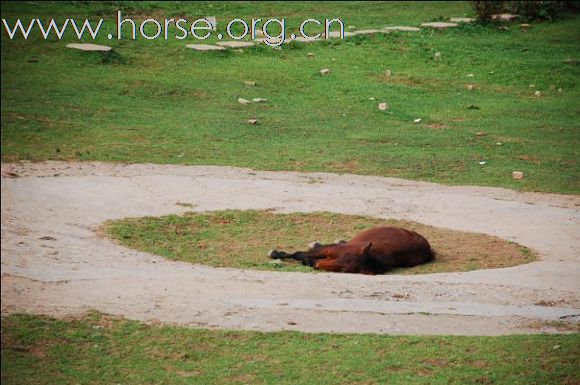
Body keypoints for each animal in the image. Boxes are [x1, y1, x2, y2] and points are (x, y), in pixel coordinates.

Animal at [268, 225, 436, 272]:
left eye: (344, 270)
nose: (316, 265)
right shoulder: (330, 250)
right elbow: (299, 254)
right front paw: (275, 253)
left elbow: (303, 256)